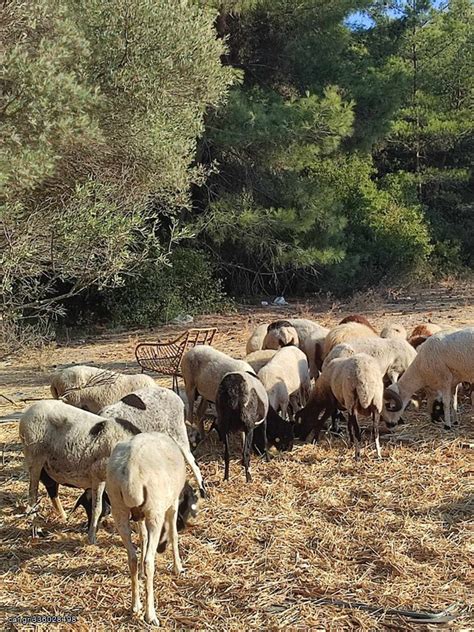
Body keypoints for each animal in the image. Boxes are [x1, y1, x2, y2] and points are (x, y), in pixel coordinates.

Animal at [19, 400, 205, 544]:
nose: (181, 527)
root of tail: (28, 412)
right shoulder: (98, 476)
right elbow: (97, 508)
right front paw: (92, 538)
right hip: (34, 459)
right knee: (32, 497)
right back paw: (36, 530)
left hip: (48, 467)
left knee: (51, 489)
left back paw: (61, 518)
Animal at [106, 432, 203, 624]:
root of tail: (130, 472)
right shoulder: (172, 504)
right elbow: (173, 534)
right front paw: (178, 567)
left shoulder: (138, 515)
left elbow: (142, 536)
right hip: (154, 511)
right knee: (149, 561)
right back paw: (150, 614)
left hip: (118, 509)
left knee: (132, 558)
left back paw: (135, 606)